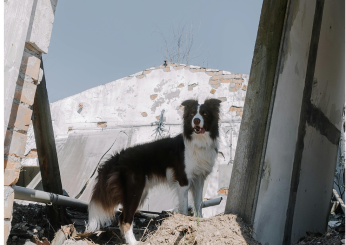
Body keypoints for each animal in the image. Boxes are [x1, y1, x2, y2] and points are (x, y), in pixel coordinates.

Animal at [88, 98, 220, 244]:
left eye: (204, 114)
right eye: (192, 114)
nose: (196, 120)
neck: (198, 142)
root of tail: (117, 157)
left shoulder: (199, 179)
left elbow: (199, 203)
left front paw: (200, 222)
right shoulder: (183, 180)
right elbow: (185, 207)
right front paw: (184, 225)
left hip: (139, 192)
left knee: (123, 215)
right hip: (135, 190)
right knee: (124, 219)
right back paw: (134, 242)